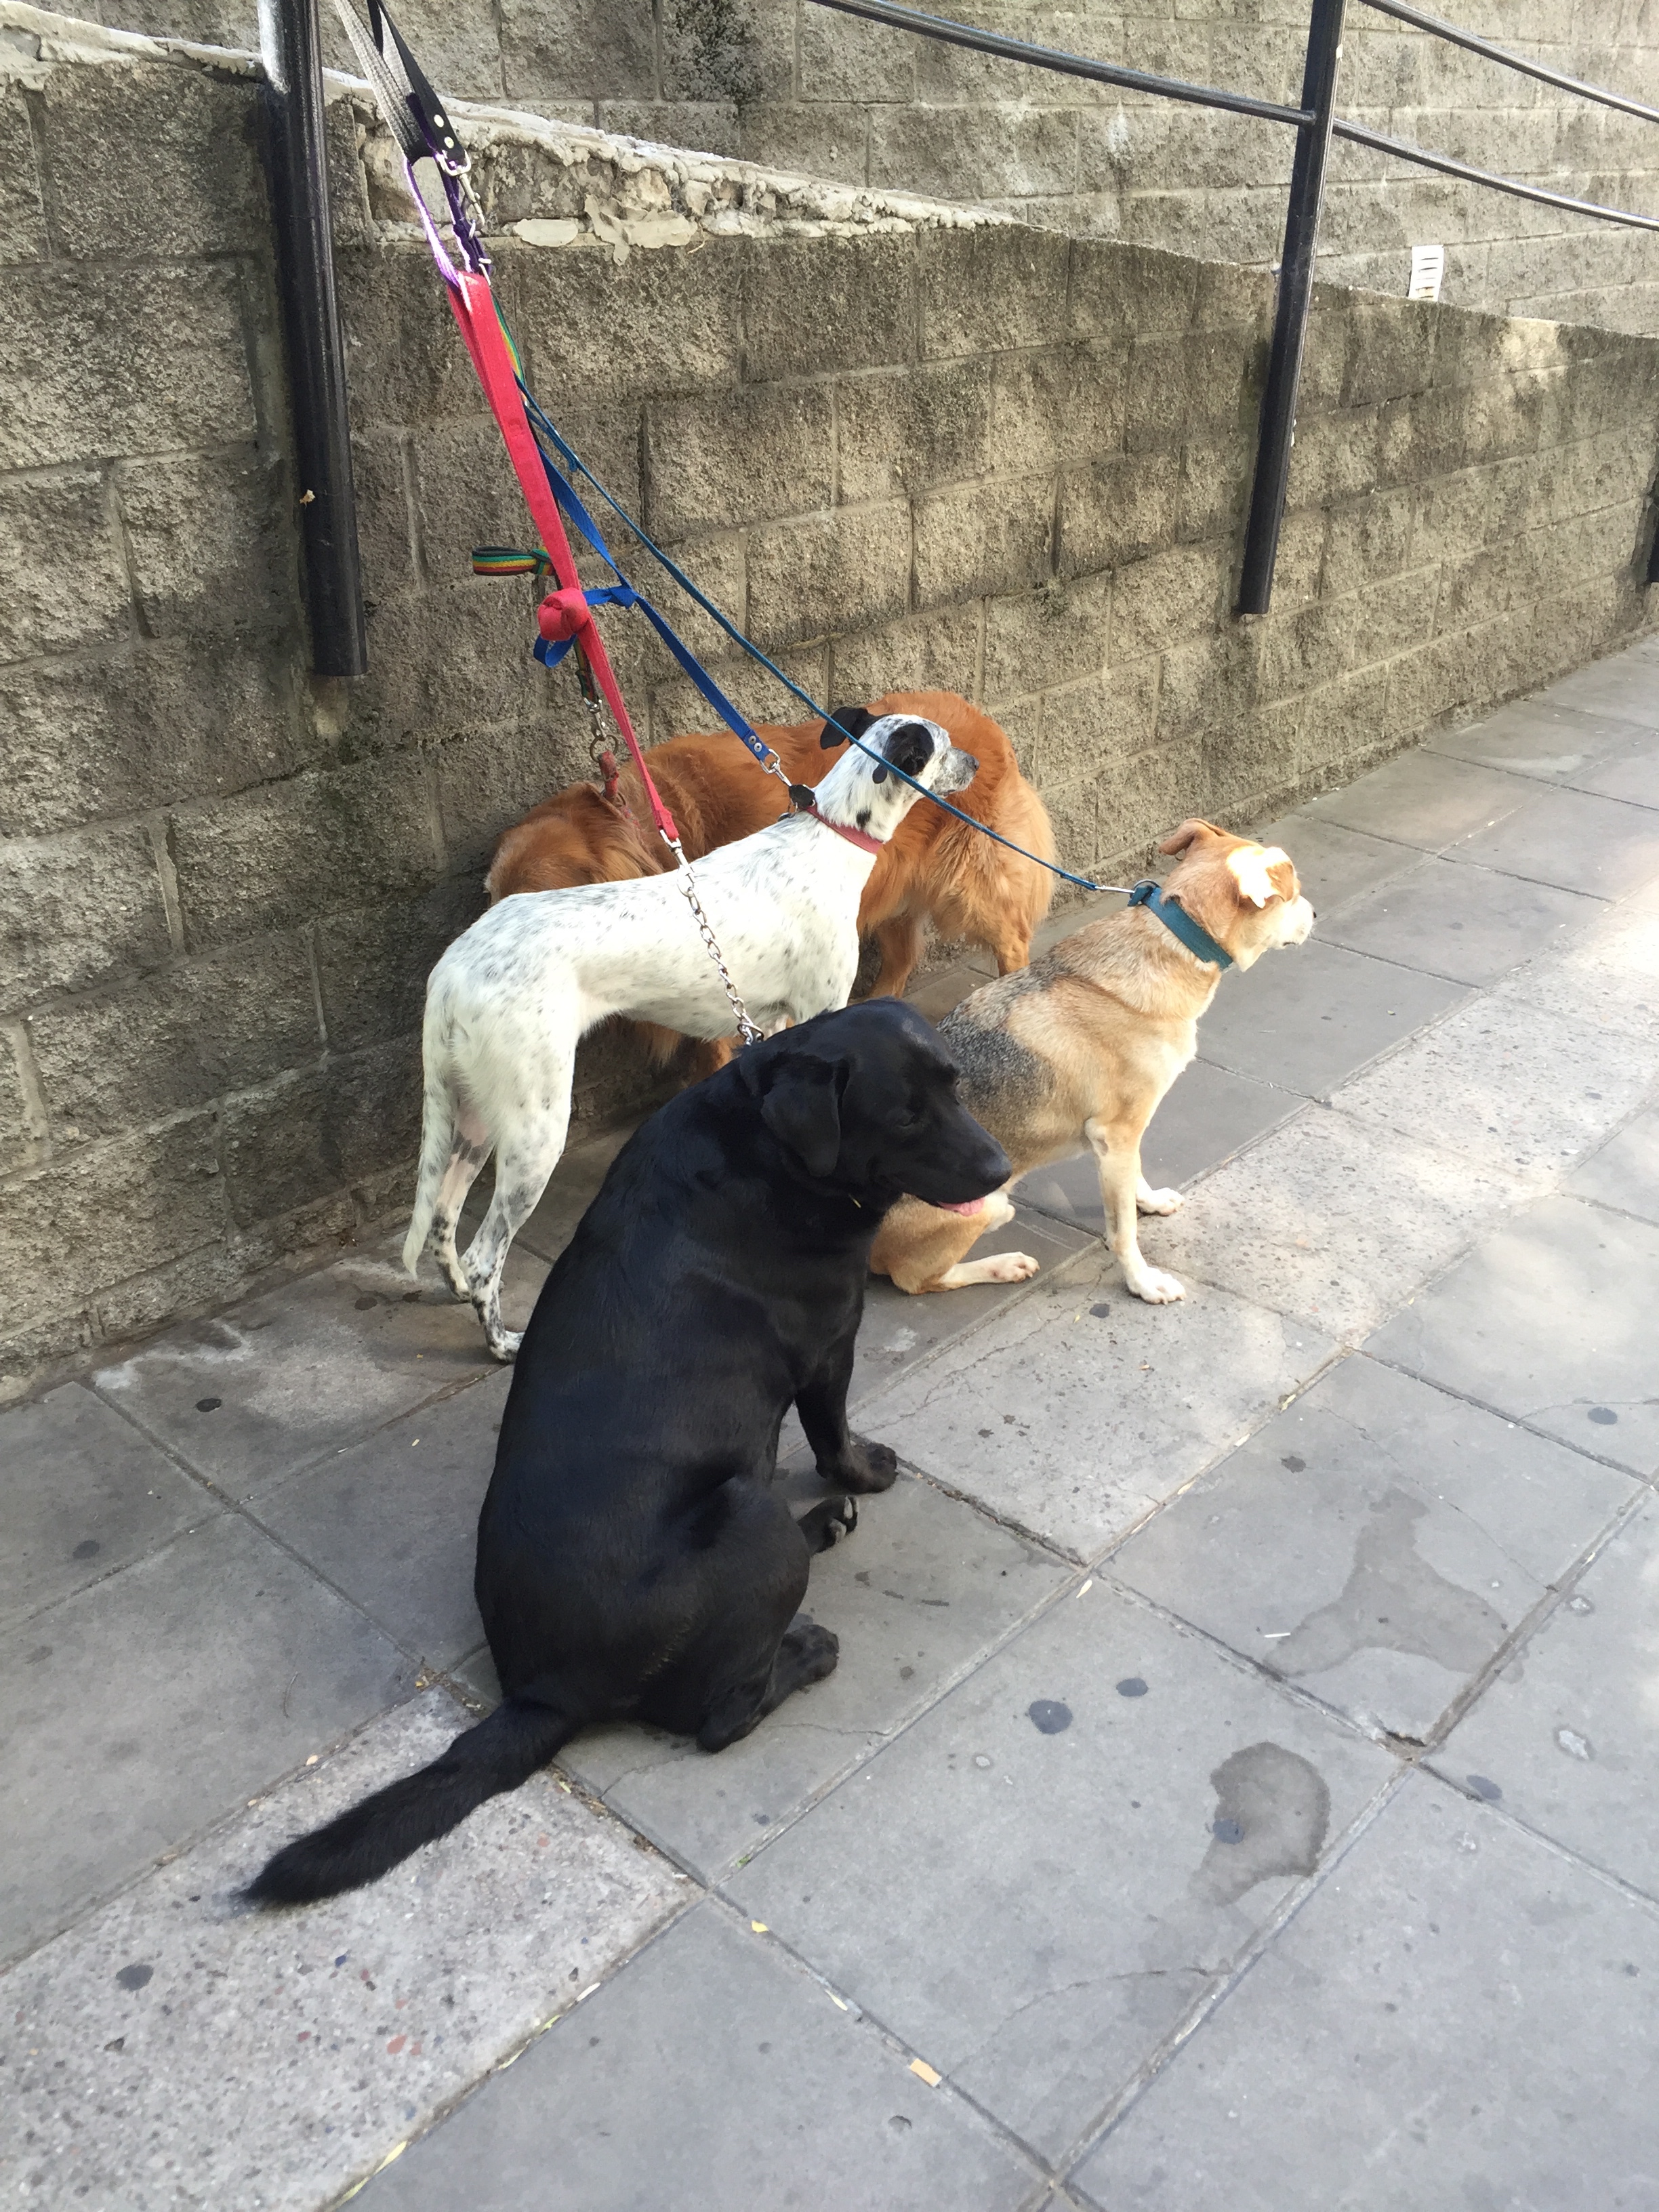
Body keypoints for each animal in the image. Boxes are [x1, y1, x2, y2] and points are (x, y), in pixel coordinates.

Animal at [248, 1002, 1010, 1905]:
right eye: (904, 1116)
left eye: (955, 1086)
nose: (1003, 1167)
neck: (765, 1144)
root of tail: (545, 1691)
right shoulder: (830, 1345)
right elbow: (832, 1433)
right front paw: (865, 1472)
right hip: (746, 1514)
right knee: (722, 1716)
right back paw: (808, 1645)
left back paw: (822, 1530)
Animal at [407, 713, 979, 1359]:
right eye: (942, 745)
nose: (976, 763)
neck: (827, 842)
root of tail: (454, 967)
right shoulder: (822, 1009)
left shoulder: (776, 1027)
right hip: (536, 1130)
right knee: (485, 1256)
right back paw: (503, 1342)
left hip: (474, 1117)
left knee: (443, 1220)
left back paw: (456, 1289)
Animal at [486, 691, 1055, 1043]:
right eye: (489, 898)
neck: (638, 828)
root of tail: (987, 723)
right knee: (900, 960)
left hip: (973, 884)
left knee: (1010, 941)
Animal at [869, 820, 1313, 1305]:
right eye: (1293, 894)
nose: (1314, 914)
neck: (1173, 939)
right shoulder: (1116, 1134)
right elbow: (1123, 1233)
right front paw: (1143, 1283)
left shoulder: (1124, 1138)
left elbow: (1135, 1179)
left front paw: (1149, 1202)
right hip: (983, 1206)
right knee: (917, 1279)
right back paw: (1002, 1265)